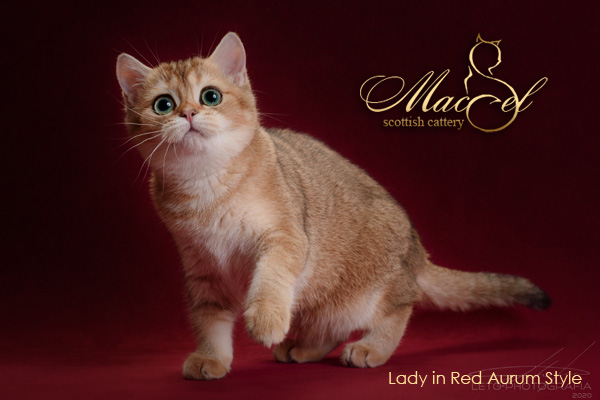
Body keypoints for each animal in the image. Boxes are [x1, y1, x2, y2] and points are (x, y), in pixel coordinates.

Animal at [116, 32, 550, 380]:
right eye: (163, 105)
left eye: (211, 96)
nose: (189, 113)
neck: (205, 187)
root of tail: (417, 252)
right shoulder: (201, 269)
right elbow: (209, 319)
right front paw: (212, 359)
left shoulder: (285, 238)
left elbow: (271, 278)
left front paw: (266, 318)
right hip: (326, 298)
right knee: (333, 324)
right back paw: (304, 347)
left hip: (374, 282)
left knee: (399, 305)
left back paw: (371, 348)